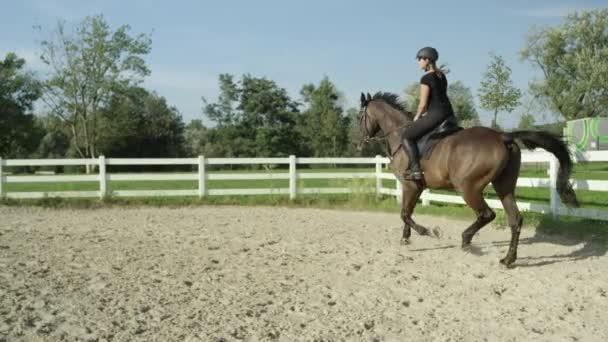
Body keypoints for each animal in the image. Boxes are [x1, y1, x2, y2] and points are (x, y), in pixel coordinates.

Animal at [358, 92, 576, 266]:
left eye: (360, 117)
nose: (361, 143)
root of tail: (502, 136)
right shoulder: (414, 187)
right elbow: (407, 212)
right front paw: (405, 238)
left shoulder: (411, 185)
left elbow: (404, 213)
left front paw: (428, 232)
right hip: (503, 187)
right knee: (514, 219)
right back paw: (508, 259)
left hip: (467, 188)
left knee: (487, 214)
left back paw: (467, 240)